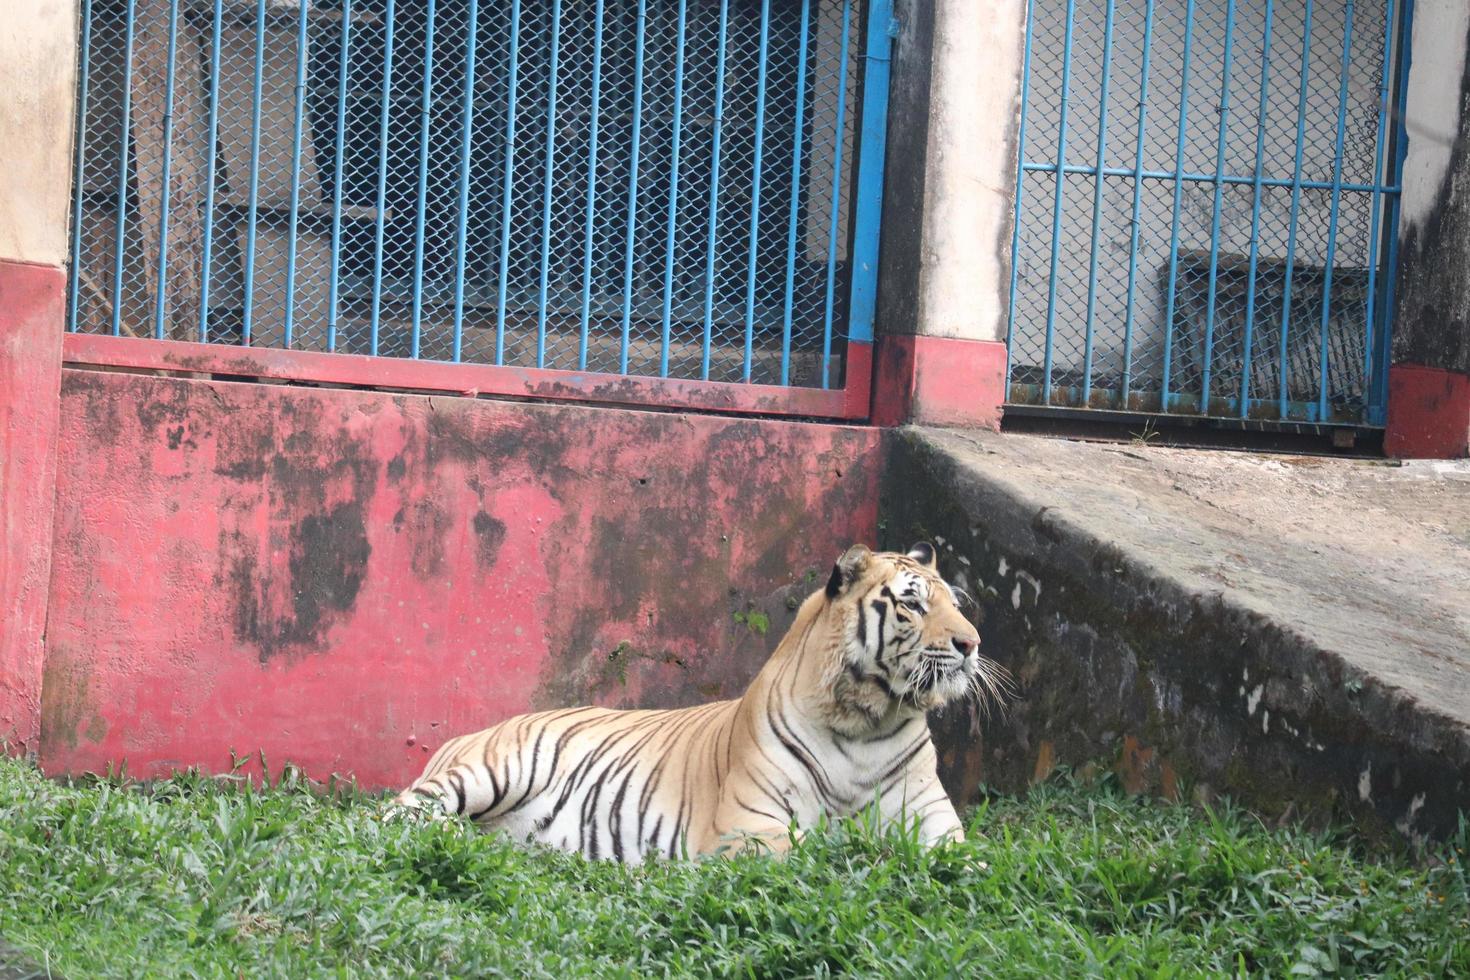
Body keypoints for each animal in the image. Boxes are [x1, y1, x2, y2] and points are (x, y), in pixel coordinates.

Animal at [396, 540, 1005, 863]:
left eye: (955, 603)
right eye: (912, 605)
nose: (973, 644)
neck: (865, 721)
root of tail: (468, 733)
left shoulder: (933, 821)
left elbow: (970, 860)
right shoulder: (751, 826)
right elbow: (808, 858)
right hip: (496, 769)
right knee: (399, 811)